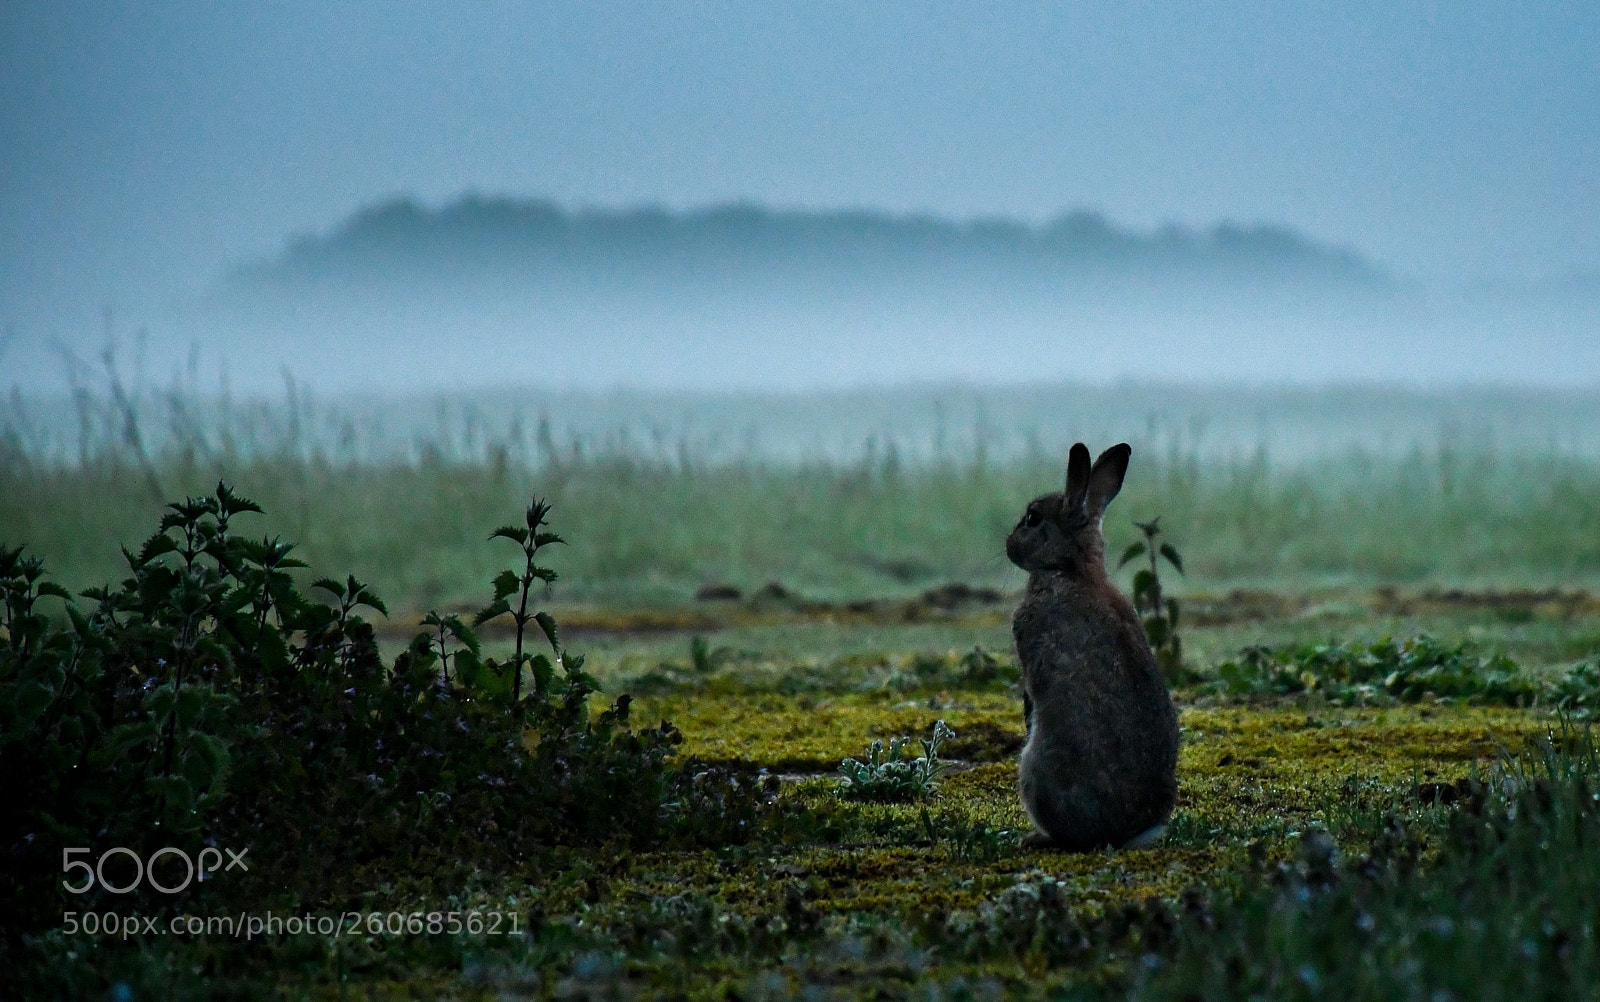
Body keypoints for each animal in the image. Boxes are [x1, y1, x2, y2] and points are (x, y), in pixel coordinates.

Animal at [1007, 442, 1180, 852]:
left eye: (1032, 518)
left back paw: (1035, 839)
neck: (1071, 570)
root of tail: (1126, 834)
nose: (1008, 547)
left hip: (1035, 768)